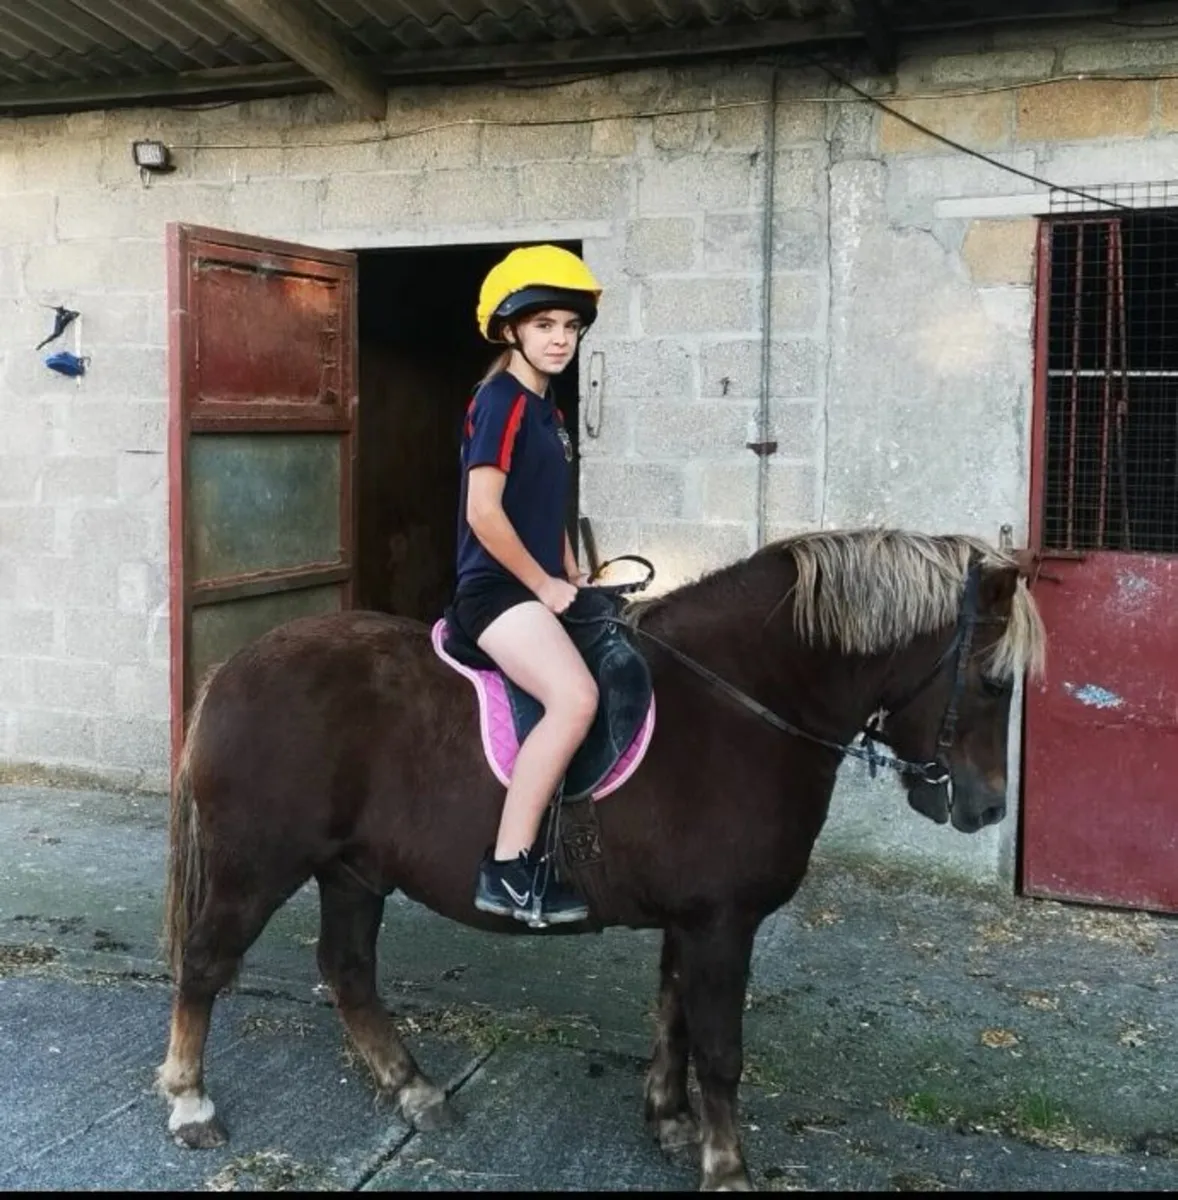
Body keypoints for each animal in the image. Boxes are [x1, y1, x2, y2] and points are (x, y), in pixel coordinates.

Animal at [157, 528, 1045, 1191]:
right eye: (994, 683)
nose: (985, 808)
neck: (740, 702)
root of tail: (234, 669)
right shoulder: (723, 922)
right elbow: (720, 1048)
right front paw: (727, 1168)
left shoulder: (694, 919)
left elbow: (673, 1017)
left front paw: (671, 1123)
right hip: (258, 865)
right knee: (205, 962)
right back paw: (192, 1102)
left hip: (352, 871)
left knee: (346, 970)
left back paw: (414, 1089)